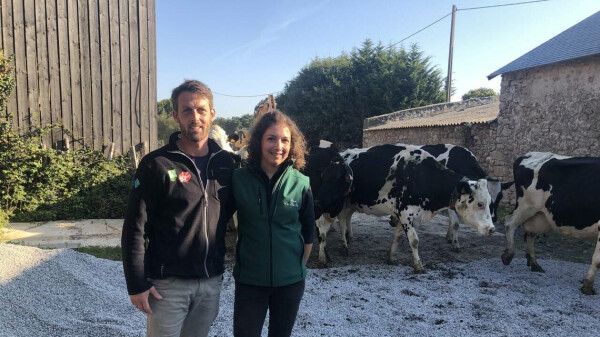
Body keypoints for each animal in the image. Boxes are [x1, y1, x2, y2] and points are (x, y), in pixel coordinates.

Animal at [316, 143, 494, 272]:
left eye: (490, 202)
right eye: (480, 203)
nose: (492, 229)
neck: (420, 175)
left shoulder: (406, 215)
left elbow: (397, 237)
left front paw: (391, 257)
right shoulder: (405, 213)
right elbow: (414, 241)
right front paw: (418, 266)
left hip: (351, 203)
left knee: (346, 218)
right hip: (342, 203)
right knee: (341, 220)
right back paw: (344, 244)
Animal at [502, 152, 600, 294]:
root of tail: (527, 155)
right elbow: (597, 259)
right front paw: (588, 285)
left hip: (538, 215)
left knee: (530, 234)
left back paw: (534, 264)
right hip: (526, 205)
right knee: (509, 223)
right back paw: (508, 255)